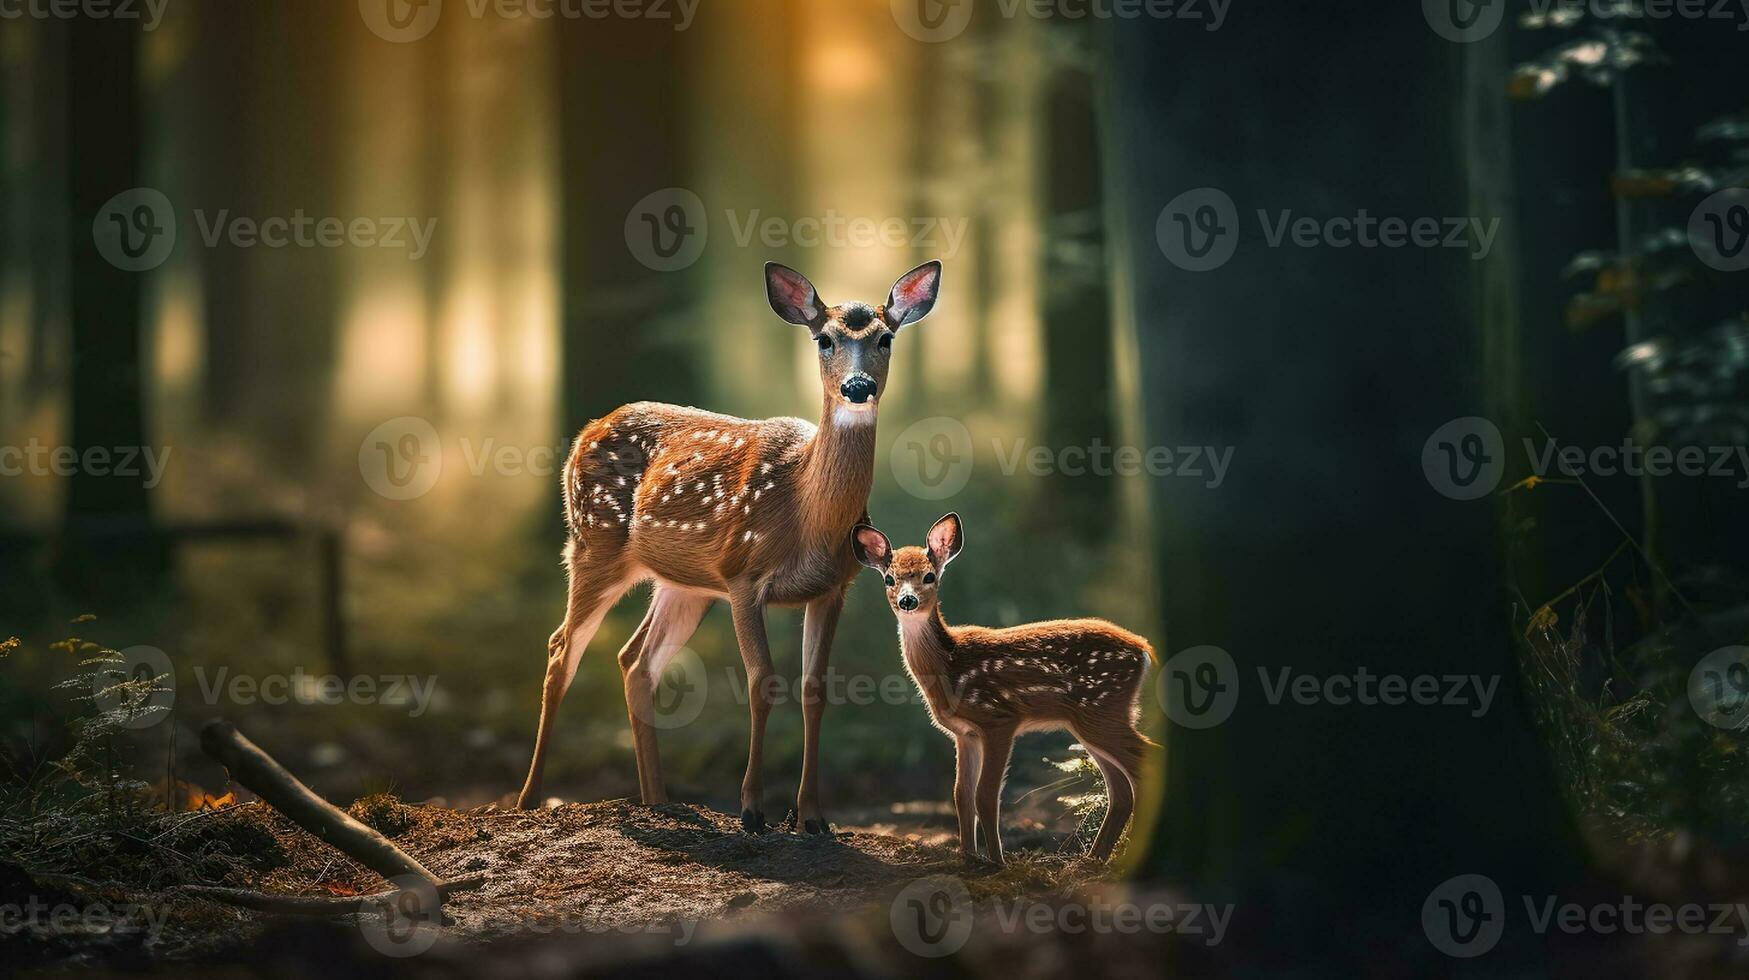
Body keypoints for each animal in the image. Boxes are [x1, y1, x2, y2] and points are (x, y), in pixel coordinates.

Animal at [514, 260, 944, 833]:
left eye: (886, 338)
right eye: (824, 339)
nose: (858, 386)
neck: (806, 513)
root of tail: (584, 431)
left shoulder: (834, 588)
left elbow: (816, 690)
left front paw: (812, 817)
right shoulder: (743, 577)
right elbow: (762, 683)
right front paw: (752, 811)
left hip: (685, 586)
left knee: (636, 661)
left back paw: (658, 800)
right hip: (593, 543)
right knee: (563, 647)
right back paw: (529, 799)